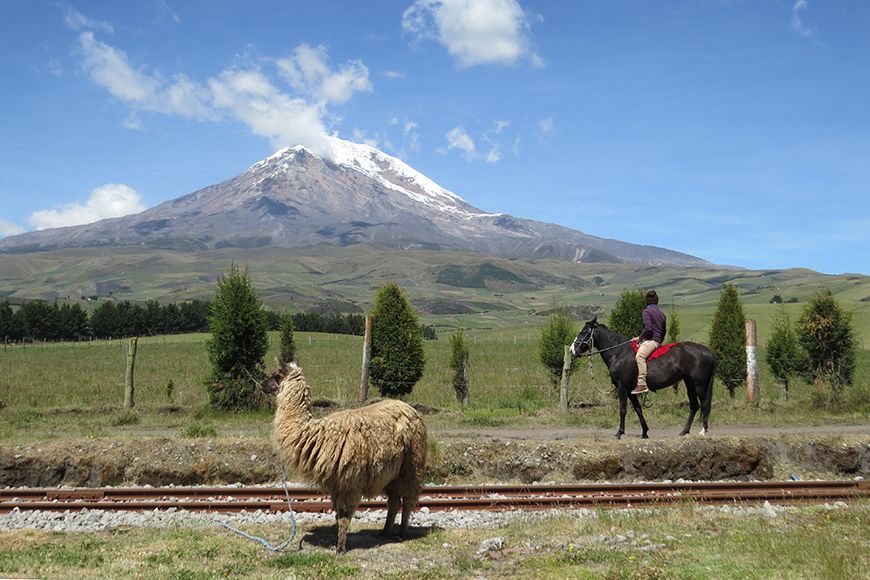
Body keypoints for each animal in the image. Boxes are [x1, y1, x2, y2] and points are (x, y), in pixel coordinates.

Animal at [568, 318, 720, 440]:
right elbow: (638, 409)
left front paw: (619, 433)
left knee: (704, 404)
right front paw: (644, 432)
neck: (619, 353)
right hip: (689, 384)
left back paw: (703, 431)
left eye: (583, 332)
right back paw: (684, 431)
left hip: (698, 385)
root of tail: (709, 352)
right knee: (694, 405)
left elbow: (622, 410)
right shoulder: (631, 391)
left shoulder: (622, 388)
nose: (572, 350)